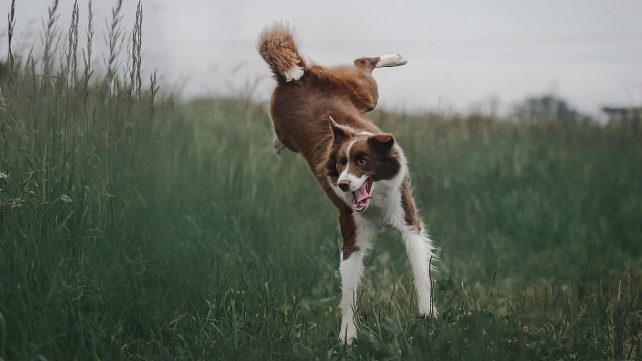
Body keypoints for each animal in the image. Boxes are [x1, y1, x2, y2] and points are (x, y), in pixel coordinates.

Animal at [258, 23, 438, 344]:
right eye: (341, 163)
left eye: (363, 161)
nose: (342, 184)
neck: (376, 202)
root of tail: (296, 77)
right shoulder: (351, 233)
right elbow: (349, 292)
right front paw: (347, 336)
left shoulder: (407, 219)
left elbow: (420, 267)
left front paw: (426, 311)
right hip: (303, 119)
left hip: (364, 94)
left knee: (362, 64)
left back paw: (396, 58)